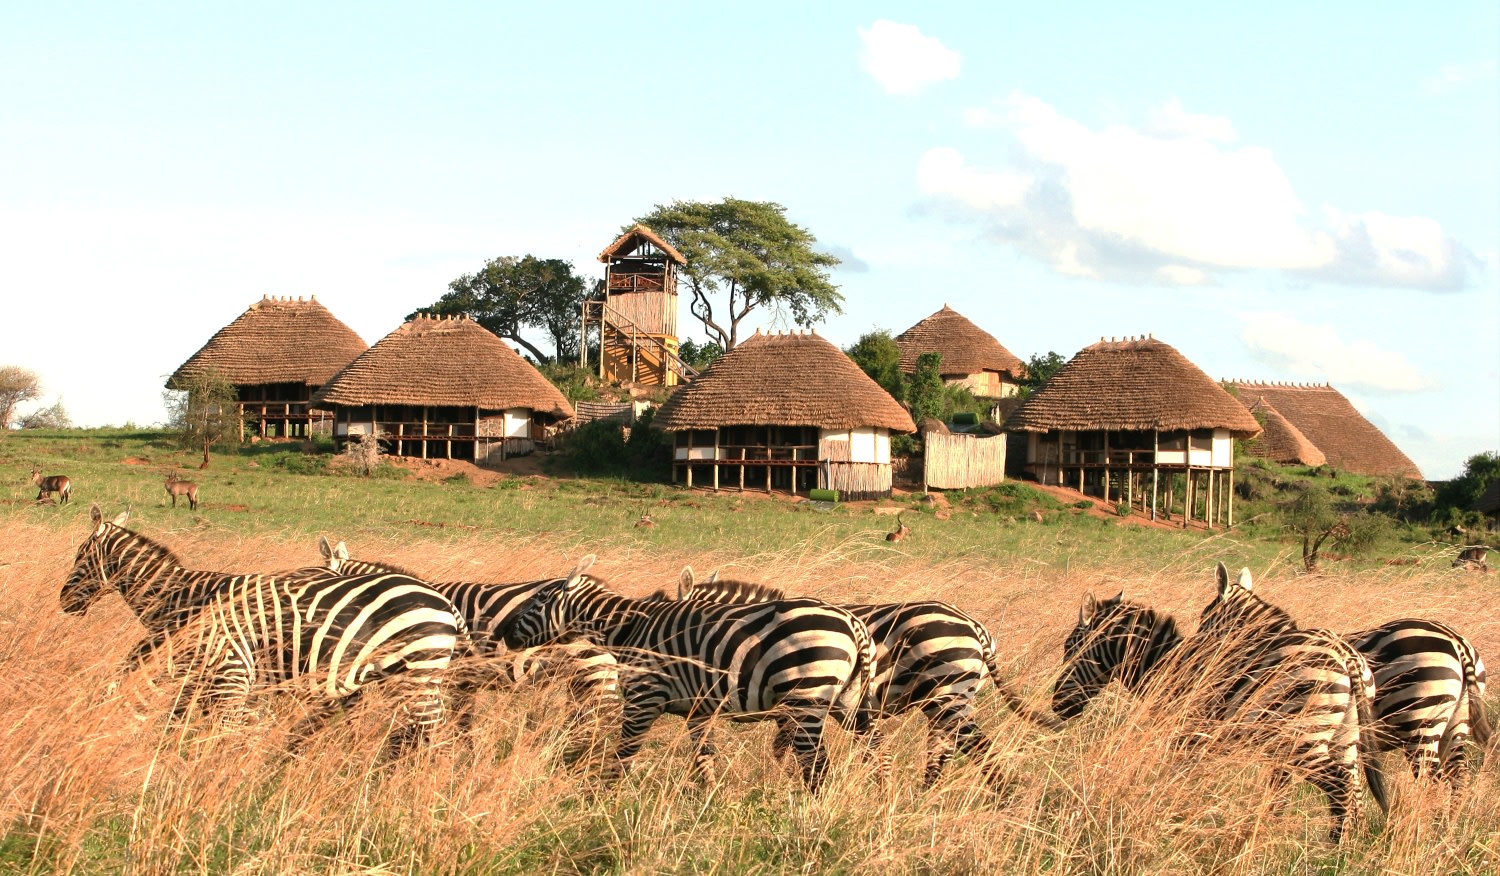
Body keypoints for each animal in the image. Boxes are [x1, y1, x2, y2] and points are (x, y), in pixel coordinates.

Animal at [61, 507, 462, 753]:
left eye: (80, 556)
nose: (63, 601)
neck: (181, 597)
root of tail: (443, 601)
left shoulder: (224, 668)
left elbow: (214, 726)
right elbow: (185, 720)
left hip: (417, 673)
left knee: (431, 730)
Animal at [498, 570, 876, 792]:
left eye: (536, 603)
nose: (503, 634)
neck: (629, 627)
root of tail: (852, 622)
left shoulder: (643, 698)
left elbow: (625, 754)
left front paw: (605, 800)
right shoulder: (699, 709)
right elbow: (703, 757)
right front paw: (711, 800)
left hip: (806, 699)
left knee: (817, 764)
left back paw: (811, 813)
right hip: (848, 703)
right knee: (873, 748)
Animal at [675, 570, 1062, 786]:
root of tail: (976, 628)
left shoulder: (793, 703)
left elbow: (782, 751)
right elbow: (783, 750)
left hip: (947, 695)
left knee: (978, 747)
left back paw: (1000, 798)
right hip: (946, 700)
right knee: (944, 752)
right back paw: (926, 799)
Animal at [1056, 591, 1380, 846]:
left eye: (1069, 648)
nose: (1056, 704)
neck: (1167, 666)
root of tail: (1345, 655)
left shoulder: (1186, 737)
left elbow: (1178, 781)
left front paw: (1173, 818)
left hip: (1302, 738)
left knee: (1339, 783)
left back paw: (1335, 846)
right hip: (1344, 736)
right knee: (1354, 785)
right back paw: (1352, 843)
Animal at [1194, 561, 1488, 786]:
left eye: (1203, 619)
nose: (1193, 656)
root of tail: (1457, 643)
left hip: (1420, 722)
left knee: (1431, 779)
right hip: (1455, 724)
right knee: (1458, 777)